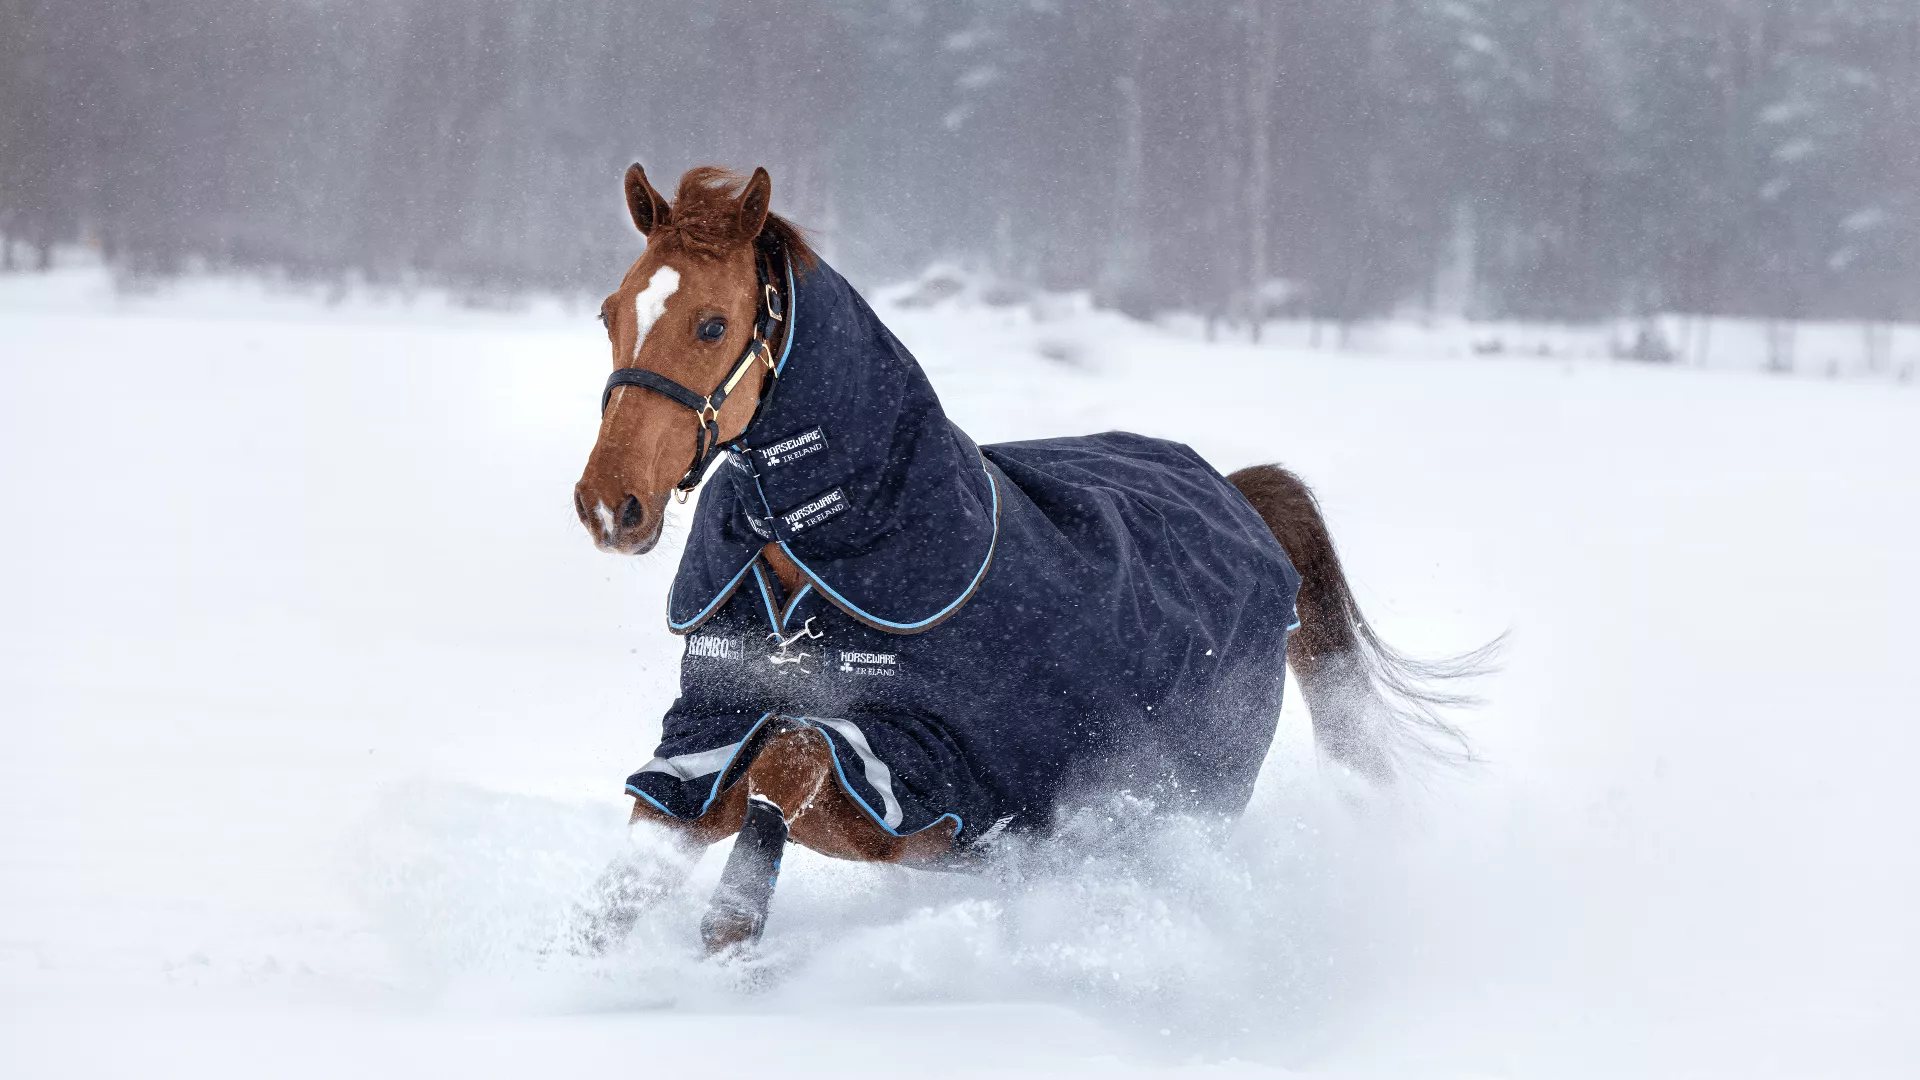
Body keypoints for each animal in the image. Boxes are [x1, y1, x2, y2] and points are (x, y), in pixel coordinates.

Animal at [569, 164, 1478, 955]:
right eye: (612, 313)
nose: (610, 504)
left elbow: (791, 756)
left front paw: (733, 930)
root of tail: (1241, 494)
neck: (825, 559)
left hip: (1181, 804)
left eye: (712, 324)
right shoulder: (703, 738)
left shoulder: (925, 778)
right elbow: (637, 864)